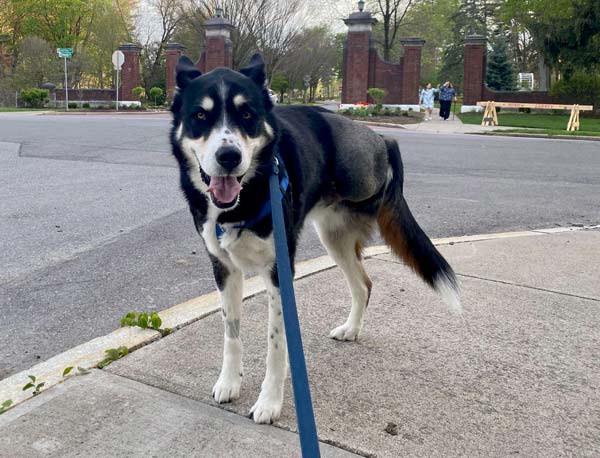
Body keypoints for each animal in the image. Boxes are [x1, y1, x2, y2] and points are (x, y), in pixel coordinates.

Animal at [171, 52, 462, 422]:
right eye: (200, 115)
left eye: (247, 114)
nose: (229, 157)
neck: (244, 199)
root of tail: (379, 138)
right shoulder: (224, 270)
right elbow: (231, 333)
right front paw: (229, 383)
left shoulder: (278, 272)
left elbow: (277, 344)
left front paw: (270, 402)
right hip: (333, 238)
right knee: (363, 285)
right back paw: (351, 329)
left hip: (355, 188)